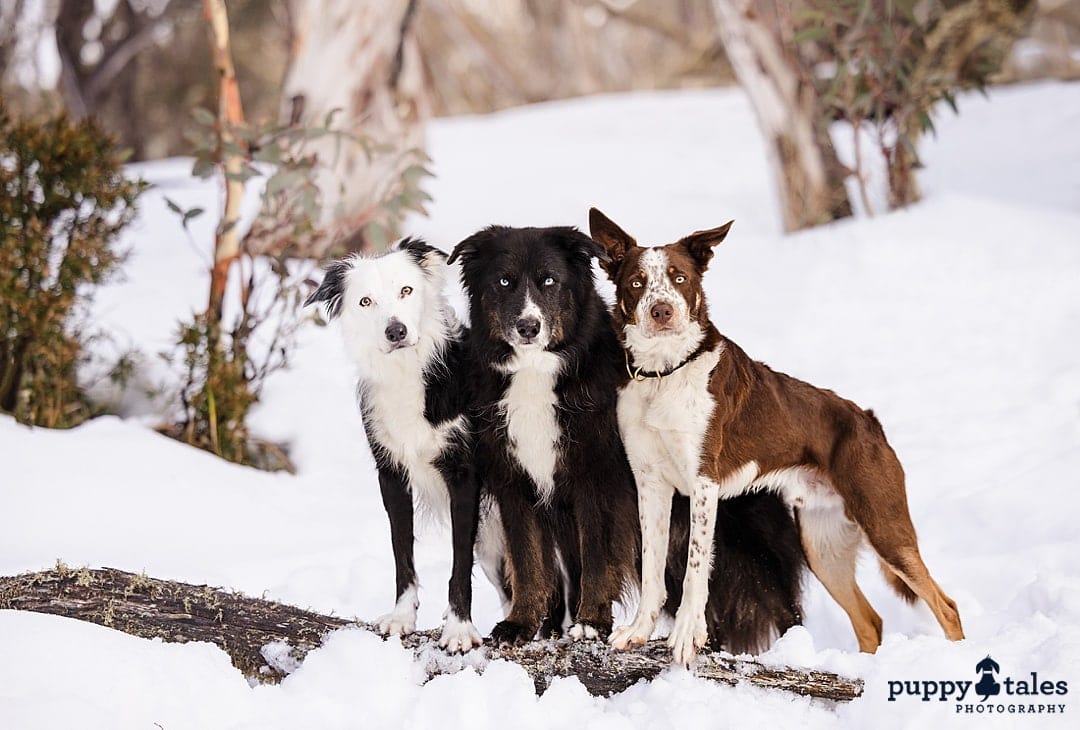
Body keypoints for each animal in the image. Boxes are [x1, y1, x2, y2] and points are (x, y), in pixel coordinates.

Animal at [587, 206, 967, 660]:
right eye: (637, 282)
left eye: (679, 278)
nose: (662, 311)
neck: (665, 375)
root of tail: (868, 420)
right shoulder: (650, 484)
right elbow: (651, 566)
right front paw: (639, 630)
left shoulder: (703, 483)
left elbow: (695, 569)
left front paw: (686, 636)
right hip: (822, 545)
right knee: (870, 622)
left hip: (884, 524)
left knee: (945, 605)